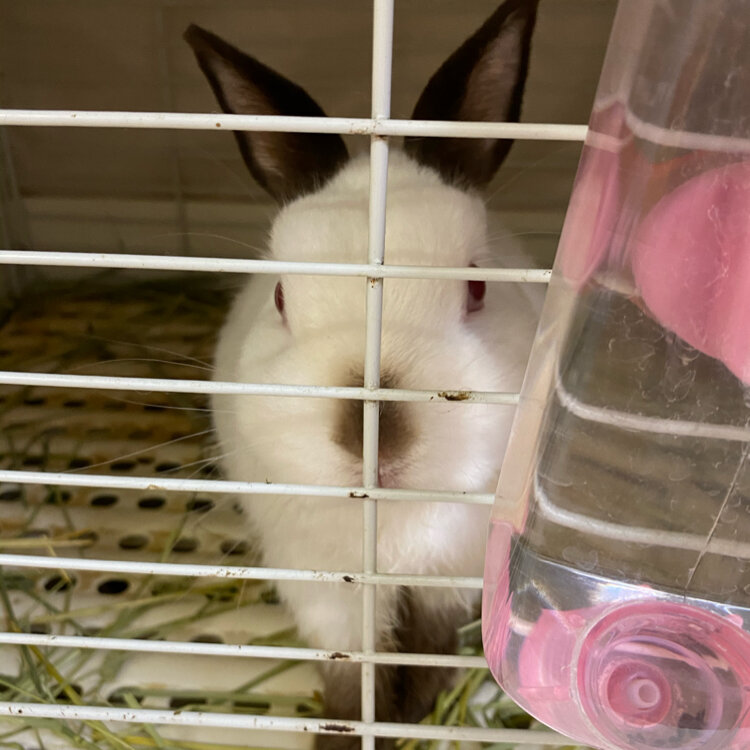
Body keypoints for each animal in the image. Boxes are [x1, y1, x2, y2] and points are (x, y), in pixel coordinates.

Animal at [185, 0, 542, 746]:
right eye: (281, 297)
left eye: (478, 288)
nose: (373, 432)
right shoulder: (327, 588)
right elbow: (354, 671)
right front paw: (350, 730)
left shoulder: (450, 575)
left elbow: (426, 646)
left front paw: (416, 712)